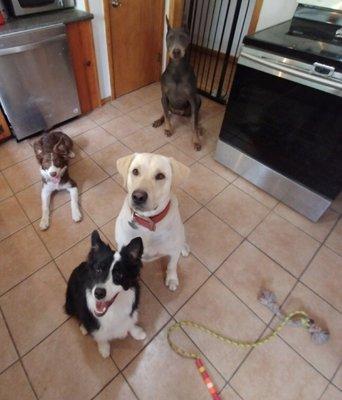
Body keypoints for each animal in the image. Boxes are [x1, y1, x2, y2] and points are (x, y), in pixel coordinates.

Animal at [115, 153, 190, 290]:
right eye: (135, 171)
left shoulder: (173, 252)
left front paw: (172, 279)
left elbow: (172, 265)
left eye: (160, 176)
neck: (147, 222)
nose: (138, 196)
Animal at [153, 15, 203, 150]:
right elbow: (166, 115)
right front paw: (168, 128)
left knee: (194, 117)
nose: (176, 51)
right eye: (170, 37)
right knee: (166, 112)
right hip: (164, 102)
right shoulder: (164, 95)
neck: (177, 68)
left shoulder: (192, 98)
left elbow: (194, 123)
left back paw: (200, 128)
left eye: (183, 37)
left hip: (198, 100)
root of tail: (178, 112)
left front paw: (196, 140)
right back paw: (159, 120)